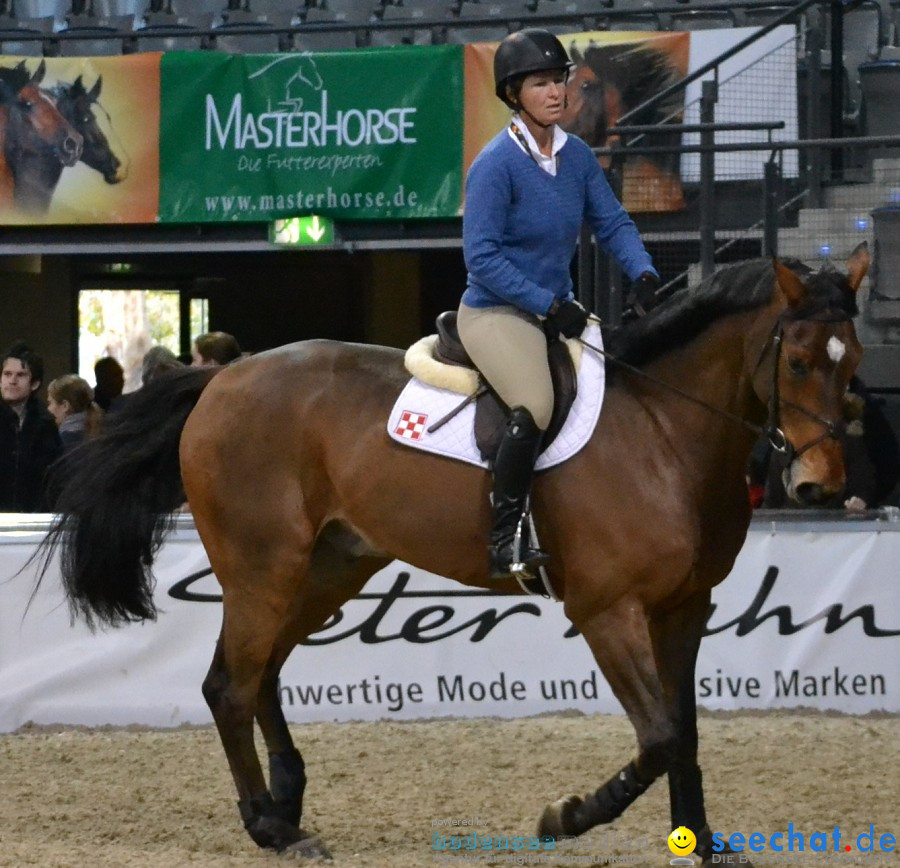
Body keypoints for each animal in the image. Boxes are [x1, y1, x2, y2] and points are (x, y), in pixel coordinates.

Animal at [38, 248, 868, 864]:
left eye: (853, 360)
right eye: (797, 362)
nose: (819, 486)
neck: (665, 431)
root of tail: (220, 380)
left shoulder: (684, 608)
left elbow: (686, 731)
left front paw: (702, 844)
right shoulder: (608, 610)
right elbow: (659, 735)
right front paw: (566, 815)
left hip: (331, 567)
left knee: (261, 671)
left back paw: (288, 799)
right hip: (261, 570)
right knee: (228, 685)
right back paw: (269, 826)